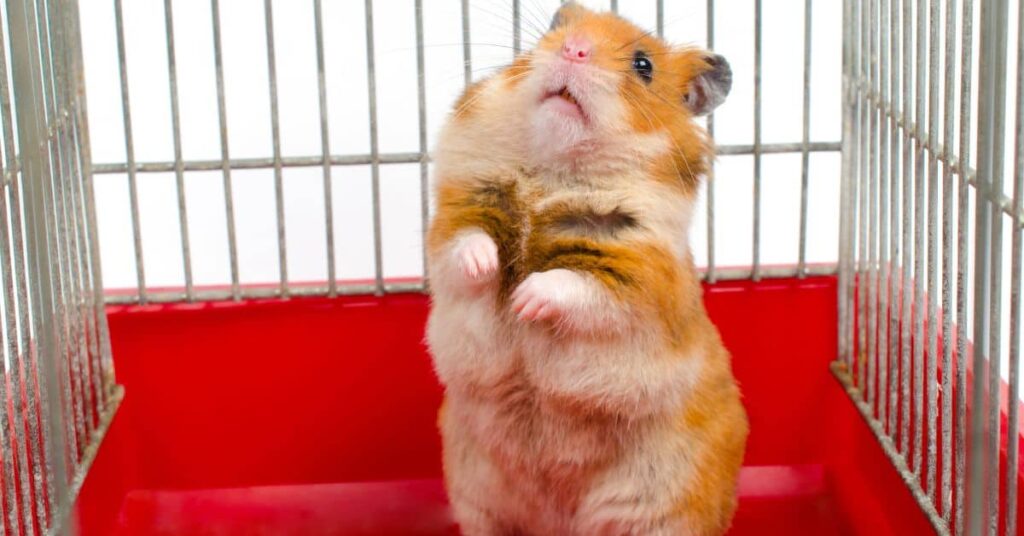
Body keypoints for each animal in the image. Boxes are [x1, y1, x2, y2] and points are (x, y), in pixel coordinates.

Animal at [425, 3, 748, 535]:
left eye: (643, 66)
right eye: (557, 30)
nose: (574, 49)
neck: (553, 173)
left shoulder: (635, 275)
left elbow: (575, 285)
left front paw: (525, 301)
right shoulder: (457, 213)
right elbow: (464, 245)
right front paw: (490, 266)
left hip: (659, 512)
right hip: (478, 499)